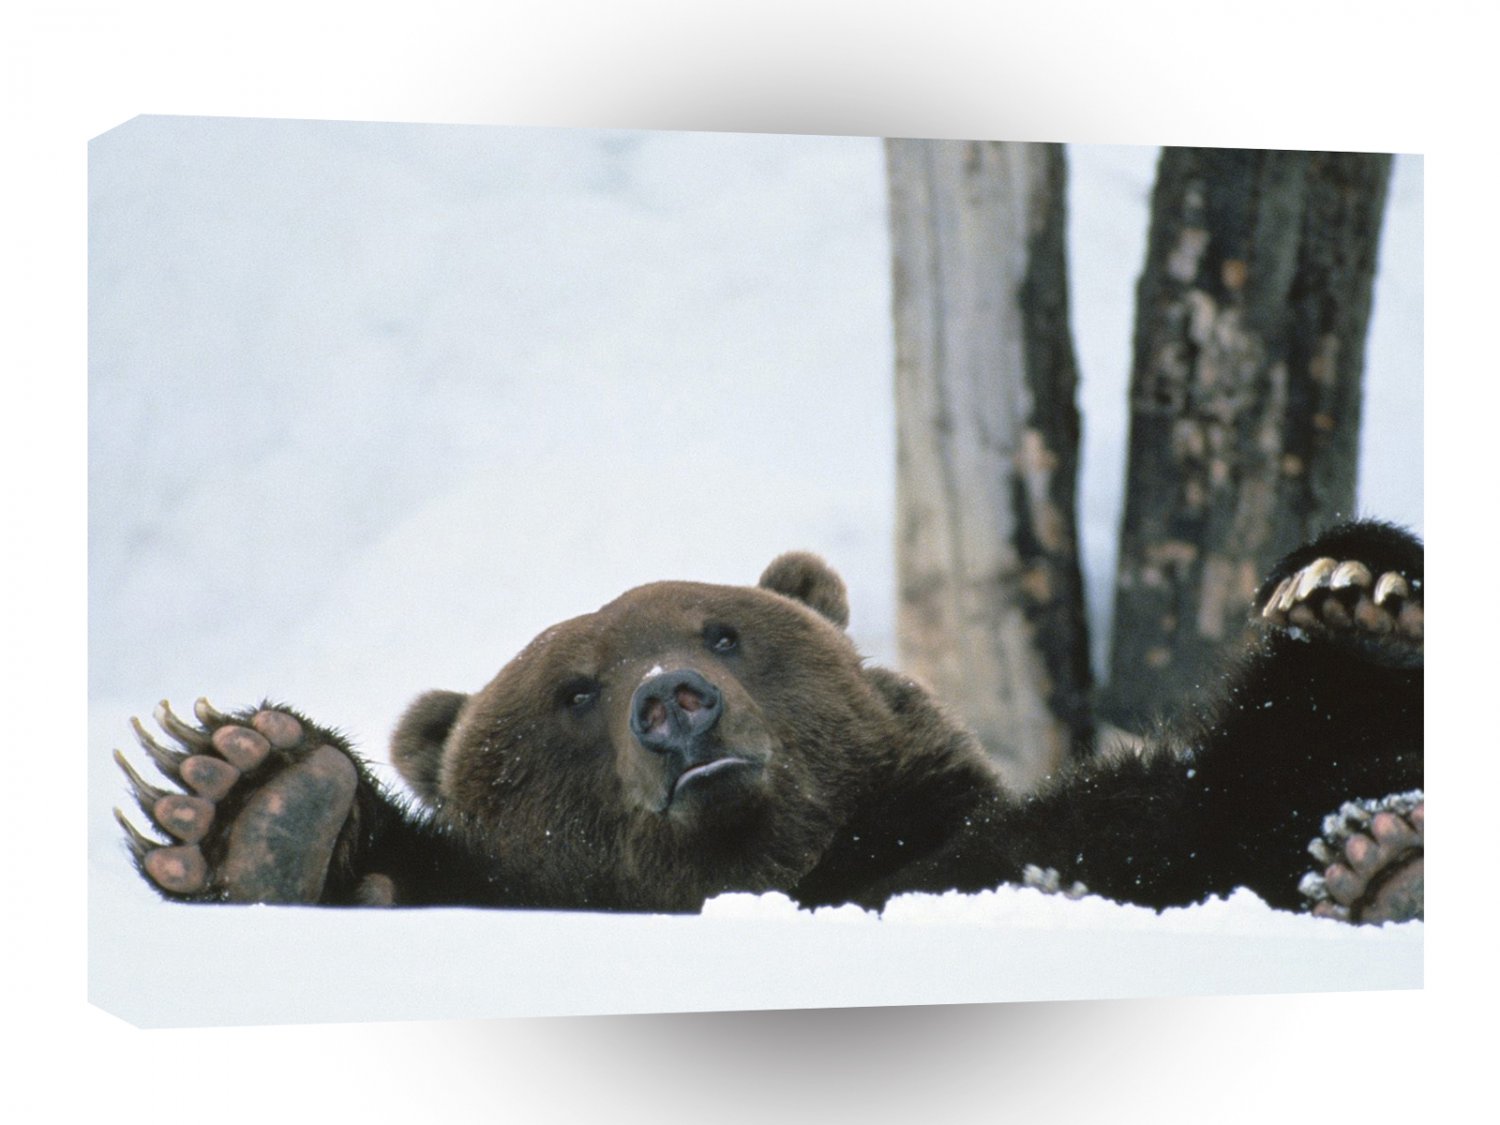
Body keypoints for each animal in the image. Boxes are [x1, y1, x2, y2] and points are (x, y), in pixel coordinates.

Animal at [115, 519, 1423, 923]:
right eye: (575, 689)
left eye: (722, 632)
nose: (671, 701)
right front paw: (247, 795)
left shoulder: (1083, 834)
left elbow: (1235, 799)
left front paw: (1356, 594)